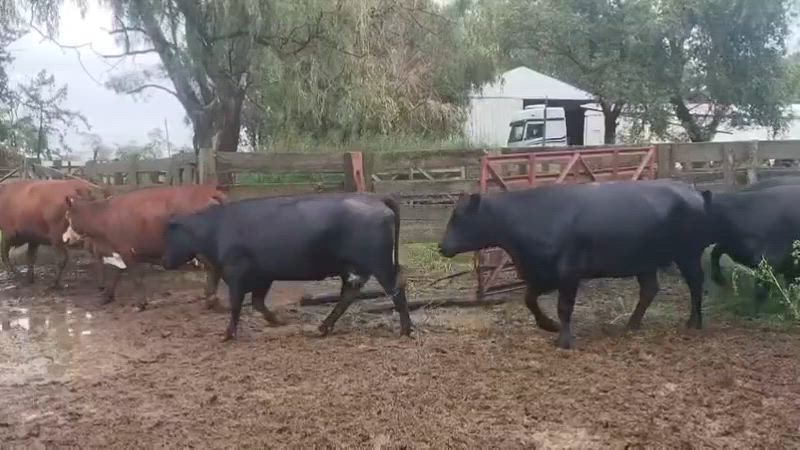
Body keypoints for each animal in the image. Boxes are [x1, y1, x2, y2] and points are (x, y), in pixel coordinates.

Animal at [61, 183, 227, 309]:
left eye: (67, 216)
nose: (65, 238)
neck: (104, 215)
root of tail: (209, 192)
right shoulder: (120, 252)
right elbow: (116, 273)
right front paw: (107, 297)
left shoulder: (126, 251)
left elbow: (135, 278)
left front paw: (140, 303)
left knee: (215, 268)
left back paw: (211, 298)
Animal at [160, 192, 411, 341]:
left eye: (170, 235)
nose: (163, 261)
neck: (216, 229)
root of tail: (378, 200)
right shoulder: (263, 276)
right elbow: (258, 302)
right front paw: (278, 321)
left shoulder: (236, 273)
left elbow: (236, 304)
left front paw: (228, 334)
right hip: (354, 268)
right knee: (349, 294)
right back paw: (323, 327)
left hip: (380, 263)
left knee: (396, 289)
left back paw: (406, 330)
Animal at [437, 179, 711, 349]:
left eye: (459, 218)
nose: (441, 246)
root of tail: (693, 191)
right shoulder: (542, 275)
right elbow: (529, 300)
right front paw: (548, 325)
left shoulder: (569, 273)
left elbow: (564, 307)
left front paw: (564, 340)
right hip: (645, 263)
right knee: (649, 290)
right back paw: (631, 325)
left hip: (687, 255)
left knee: (696, 283)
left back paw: (694, 322)